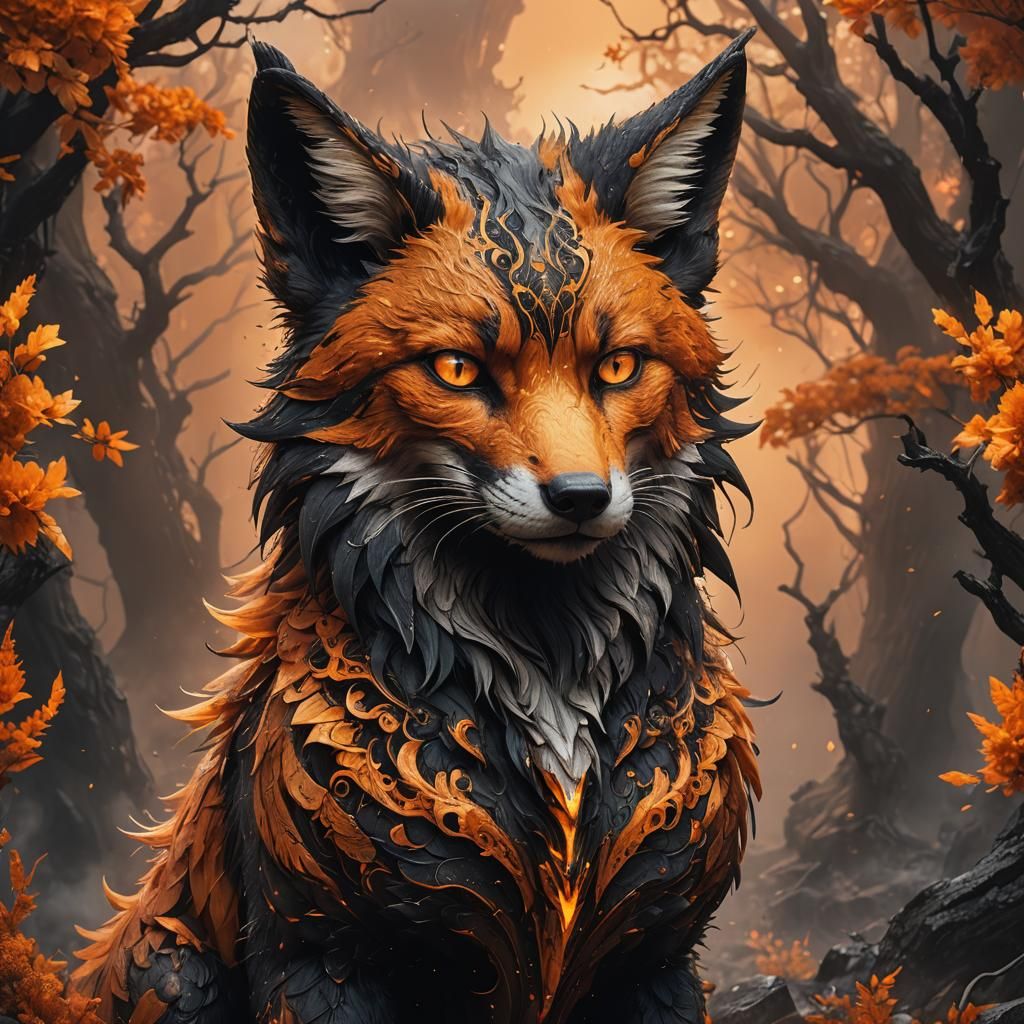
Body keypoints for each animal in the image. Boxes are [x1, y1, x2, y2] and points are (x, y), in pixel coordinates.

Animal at [74, 30, 760, 1024]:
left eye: (618, 366)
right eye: (457, 369)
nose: (581, 498)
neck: (549, 679)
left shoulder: (659, 957)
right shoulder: (321, 954)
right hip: (178, 971)